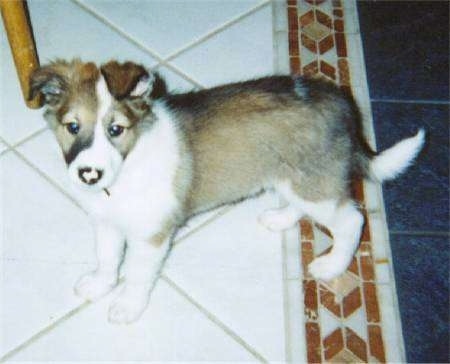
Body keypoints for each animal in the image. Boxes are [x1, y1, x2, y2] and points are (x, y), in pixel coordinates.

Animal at [29, 59, 426, 324]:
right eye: (72, 127)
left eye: (116, 130)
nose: (89, 174)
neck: (128, 166)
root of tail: (343, 104)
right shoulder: (108, 222)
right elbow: (108, 258)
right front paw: (100, 285)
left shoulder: (151, 235)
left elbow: (138, 274)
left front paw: (127, 306)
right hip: (296, 177)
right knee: (304, 205)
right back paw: (280, 217)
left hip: (315, 184)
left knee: (351, 220)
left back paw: (331, 265)